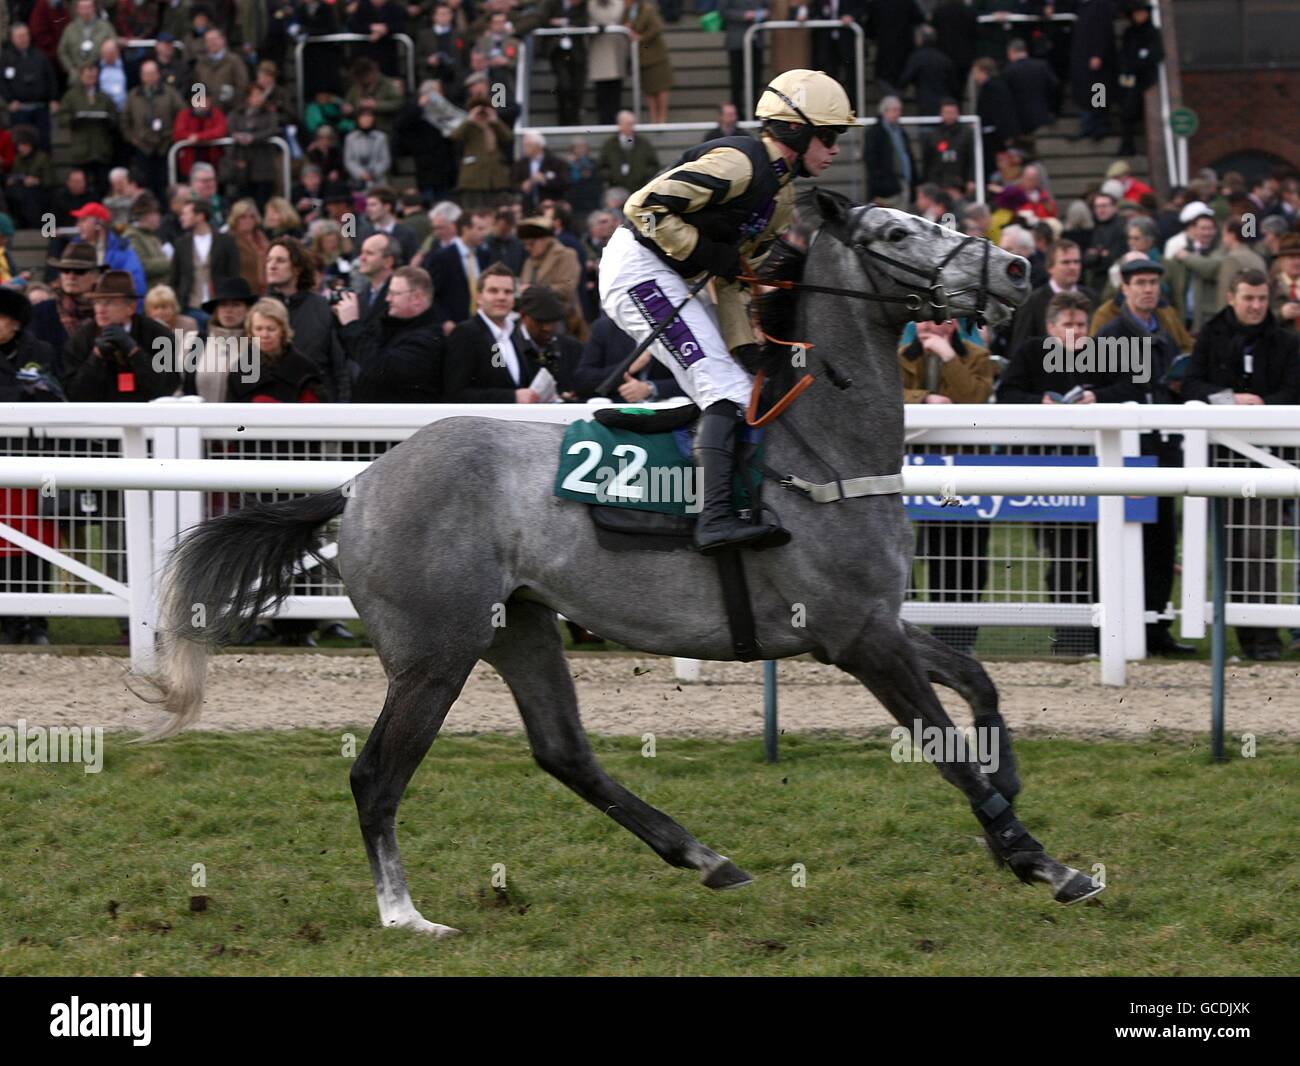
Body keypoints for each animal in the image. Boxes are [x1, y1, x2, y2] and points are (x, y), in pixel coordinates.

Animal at [144, 189, 1107, 930]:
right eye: (897, 233)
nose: (1017, 271)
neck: (820, 449)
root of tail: (358, 485)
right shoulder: (855, 639)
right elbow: (944, 748)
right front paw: (1044, 863)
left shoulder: (874, 621)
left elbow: (977, 678)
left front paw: (1012, 789)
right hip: (435, 652)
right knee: (376, 774)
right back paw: (405, 915)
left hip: (520, 626)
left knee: (564, 752)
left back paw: (706, 857)